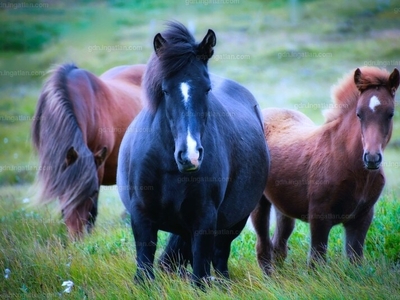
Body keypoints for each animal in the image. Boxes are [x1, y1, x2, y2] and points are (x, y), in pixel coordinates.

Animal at [117, 21, 270, 286]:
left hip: (233, 222)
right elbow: (144, 269)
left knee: (219, 256)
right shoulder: (141, 215)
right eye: (165, 90)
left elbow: (200, 274)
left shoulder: (205, 219)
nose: (190, 155)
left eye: (207, 89)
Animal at [252, 66, 398, 274]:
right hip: (259, 202)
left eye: (391, 113)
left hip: (283, 205)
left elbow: (355, 260)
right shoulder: (319, 215)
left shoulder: (362, 217)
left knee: (278, 245)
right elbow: (316, 261)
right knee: (263, 246)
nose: (371, 158)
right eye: (359, 114)